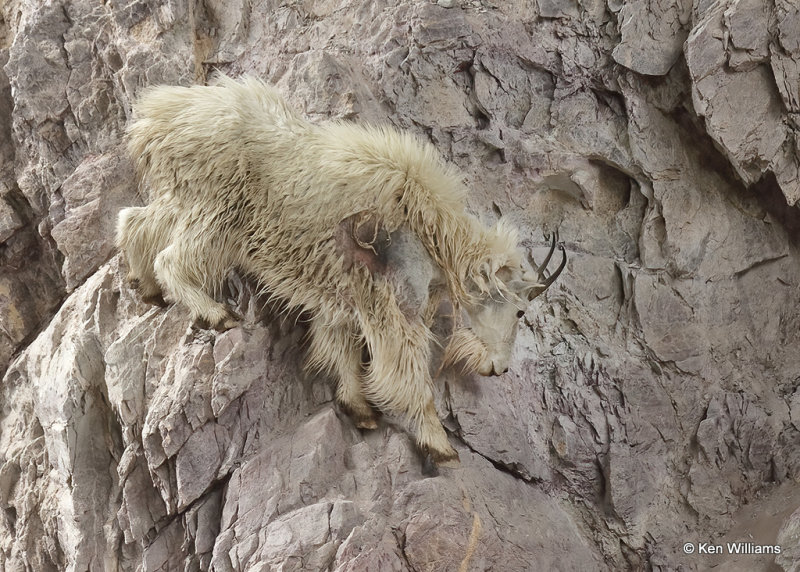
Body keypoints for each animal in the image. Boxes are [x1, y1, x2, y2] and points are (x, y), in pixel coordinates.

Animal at [120, 75, 568, 464]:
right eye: (521, 310)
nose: (499, 368)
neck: (433, 229)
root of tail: (156, 117)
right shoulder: (393, 303)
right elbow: (408, 375)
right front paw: (440, 446)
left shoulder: (344, 296)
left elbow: (341, 349)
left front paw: (360, 410)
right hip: (216, 211)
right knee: (171, 258)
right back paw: (214, 313)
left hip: (183, 199)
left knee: (136, 220)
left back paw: (146, 286)